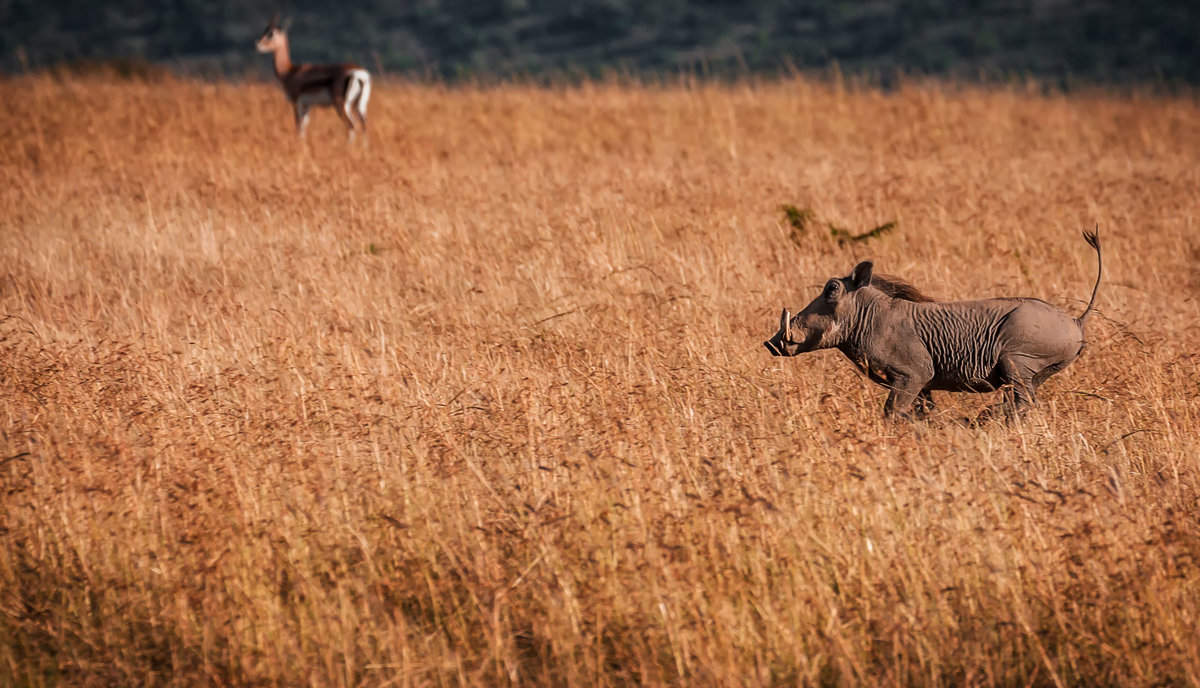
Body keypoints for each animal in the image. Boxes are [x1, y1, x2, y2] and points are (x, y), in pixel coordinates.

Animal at [259, 14, 372, 142]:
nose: (258, 44)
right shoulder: (307, 105)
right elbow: (304, 127)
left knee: (351, 125)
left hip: (342, 104)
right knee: (364, 125)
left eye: (271, 34)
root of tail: (359, 73)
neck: (289, 71)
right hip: (360, 104)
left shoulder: (296, 102)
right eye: (265, 31)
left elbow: (299, 127)